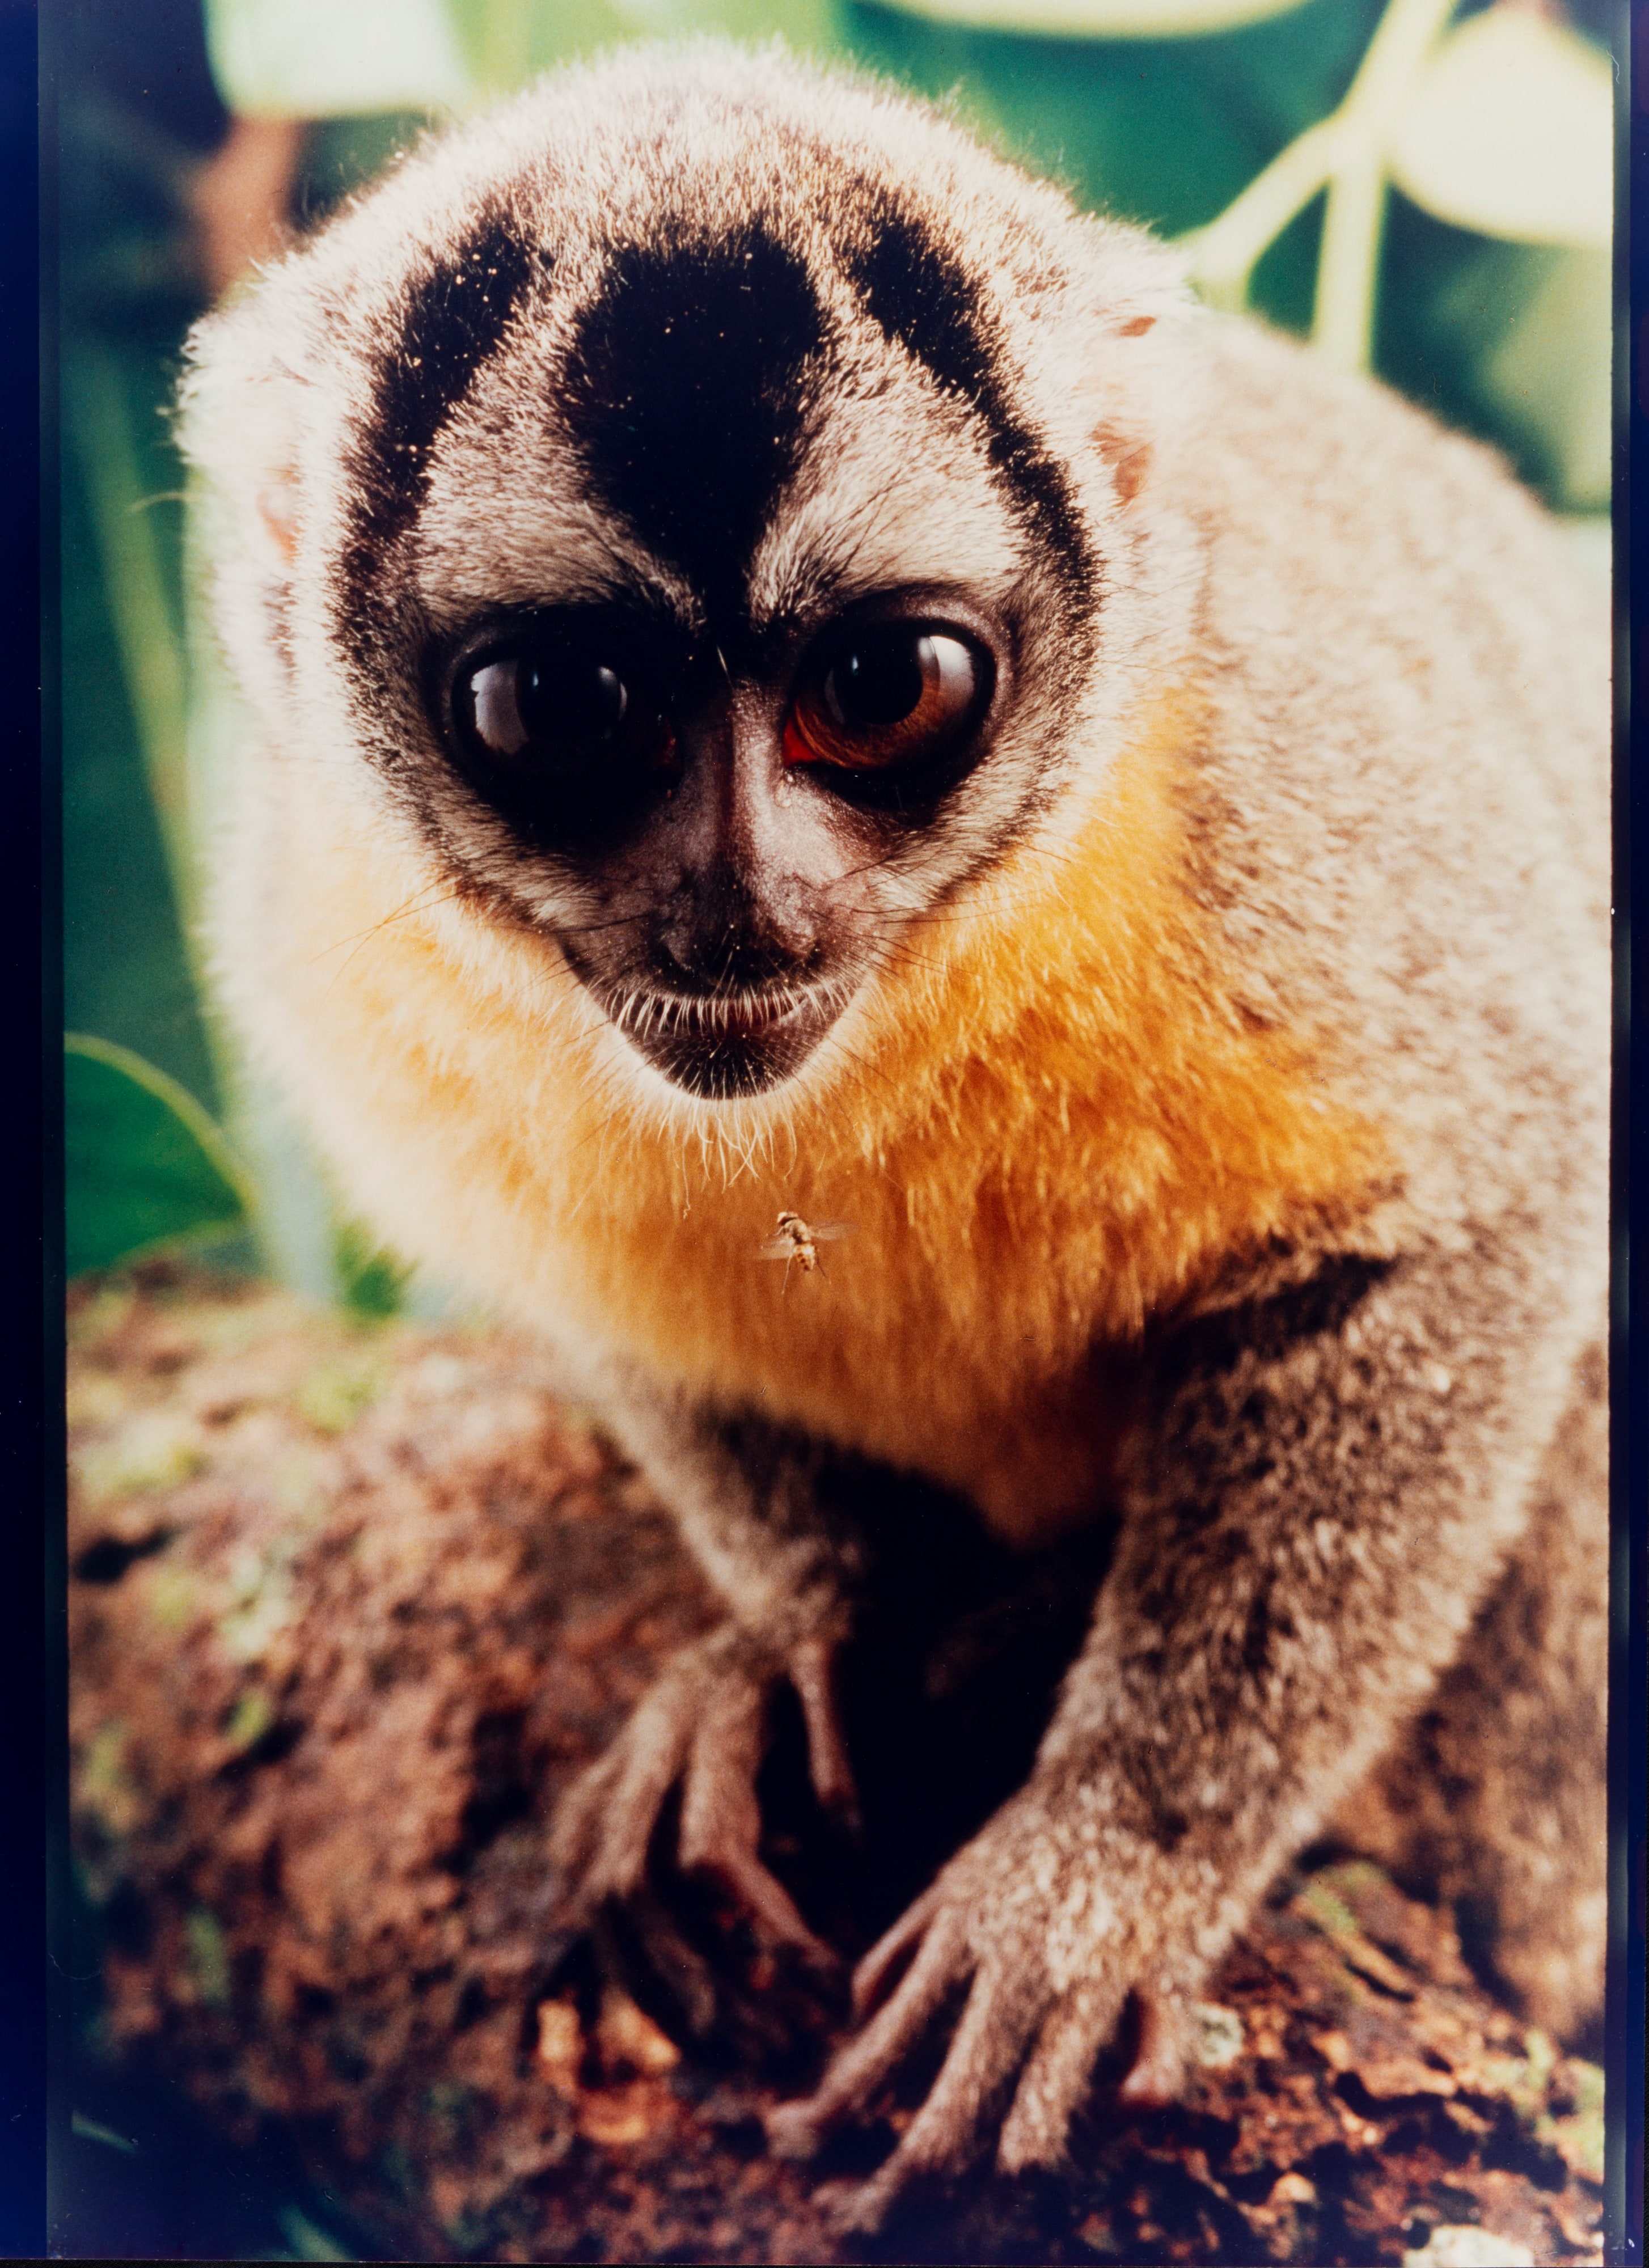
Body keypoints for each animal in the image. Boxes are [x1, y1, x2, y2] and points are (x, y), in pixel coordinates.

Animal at [178, 41, 1609, 2226]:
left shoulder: (1263, 780)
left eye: (883, 684)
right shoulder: (322, 908)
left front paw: (1107, 1866)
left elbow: (1480, 1202)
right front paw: (808, 1636)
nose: (744, 913)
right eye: (555, 707)